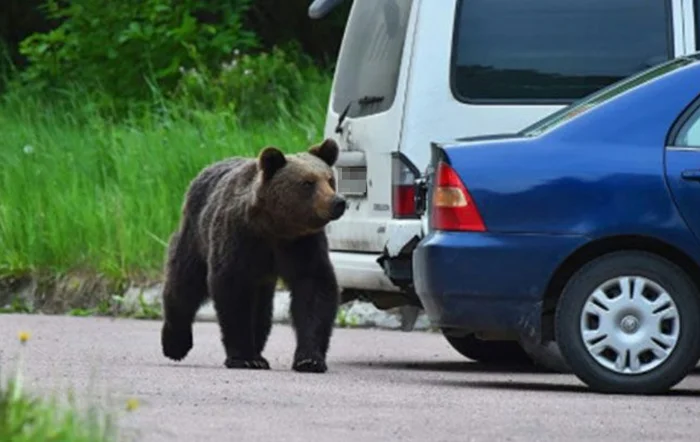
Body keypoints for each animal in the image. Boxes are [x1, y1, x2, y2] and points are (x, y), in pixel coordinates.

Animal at [159, 138, 344, 372]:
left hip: (262, 276)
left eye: (330, 179)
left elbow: (314, 290)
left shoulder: (302, 245)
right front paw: (244, 357)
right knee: (184, 284)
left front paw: (310, 359)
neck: (275, 228)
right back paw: (175, 345)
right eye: (308, 183)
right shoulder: (240, 239)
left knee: (262, 310)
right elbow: (233, 291)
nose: (338, 202)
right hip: (195, 236)